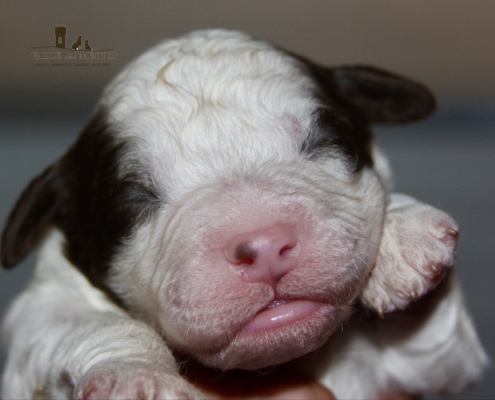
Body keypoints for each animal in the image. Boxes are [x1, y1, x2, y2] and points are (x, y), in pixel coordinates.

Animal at [0, 29, 488, 398]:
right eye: (135, 198)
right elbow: (85, 324)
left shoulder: (440, 364)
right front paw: (139, 377)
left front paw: (403, 234)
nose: (266, 245)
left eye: (325, 140)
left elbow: (433, 341)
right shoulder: (39, 318)